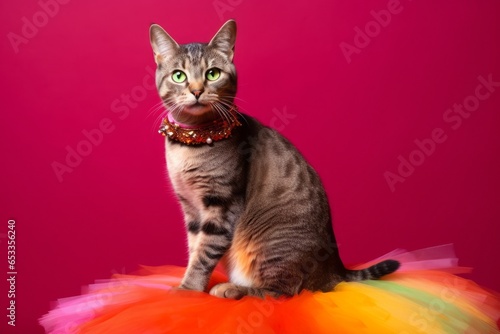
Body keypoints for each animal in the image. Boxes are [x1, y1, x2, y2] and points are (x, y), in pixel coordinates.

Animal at [148, 19, 398, 298]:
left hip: (271, 243)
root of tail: (336, 270)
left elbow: (205, 252)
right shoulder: (190, 207)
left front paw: (188, 290)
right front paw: (190, 284)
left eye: (212, 73)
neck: (191, 142)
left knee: (281, 292)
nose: (197, 90)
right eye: (179, 75)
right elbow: (195, 249)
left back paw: (232, 289)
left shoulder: (222, 204)